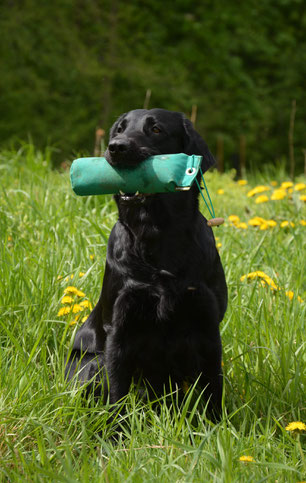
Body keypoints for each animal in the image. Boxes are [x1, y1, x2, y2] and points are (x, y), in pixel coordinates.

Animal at [66, 108, 227, 416]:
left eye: (155, 129)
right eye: (119, 129)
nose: (116, 147)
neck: (156, 236)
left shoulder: (207, 324)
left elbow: (213, 389)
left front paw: (216, 425)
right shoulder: (120, 329)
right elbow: (116, 394)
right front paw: (116, 429)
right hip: (91, 363)